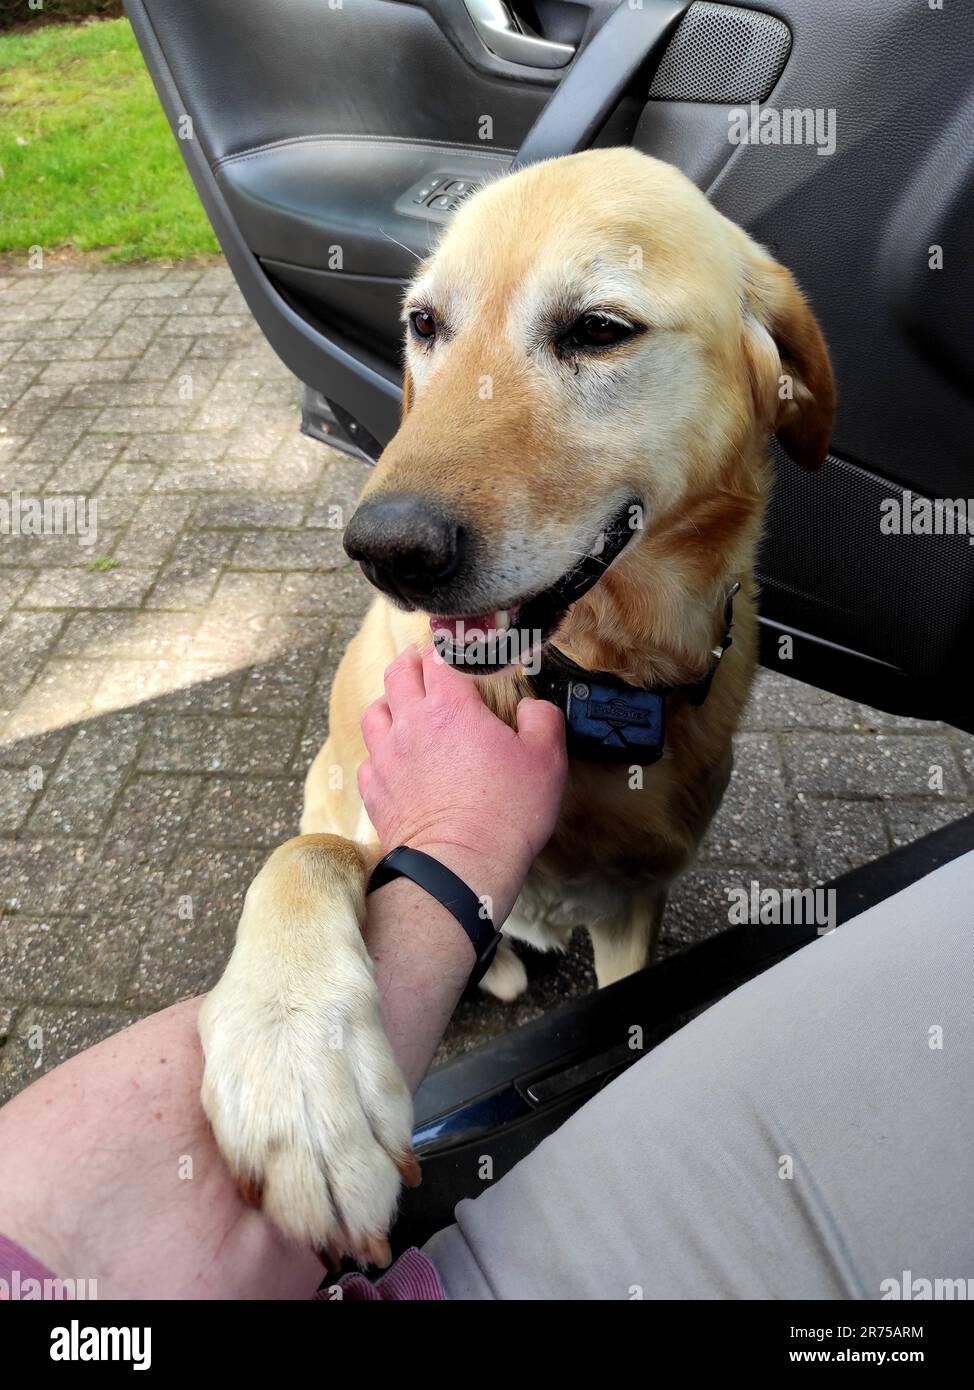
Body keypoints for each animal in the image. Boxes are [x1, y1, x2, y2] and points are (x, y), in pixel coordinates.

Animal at [200, 152, 833, 1262]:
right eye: (424, 323)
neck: (590, 680)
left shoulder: (631, 910)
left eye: (598, 328)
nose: (385, 549)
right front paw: (297, 1069)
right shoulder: (367, 809)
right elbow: (303, 860)